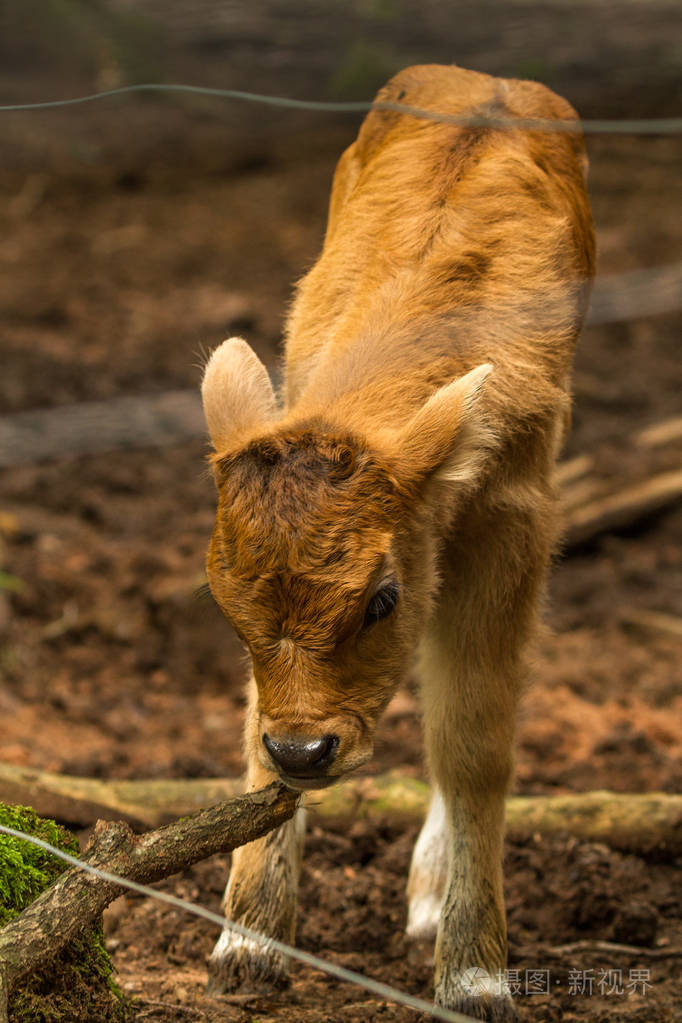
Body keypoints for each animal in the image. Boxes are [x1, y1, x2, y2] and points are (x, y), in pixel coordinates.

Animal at [200, 65, 593, 1023]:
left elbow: (476, 737)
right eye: (224, 604)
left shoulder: (514, 521)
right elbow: (254, 725)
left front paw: (475, 975)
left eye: (380, 597)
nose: (306, 751)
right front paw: (246, 946)